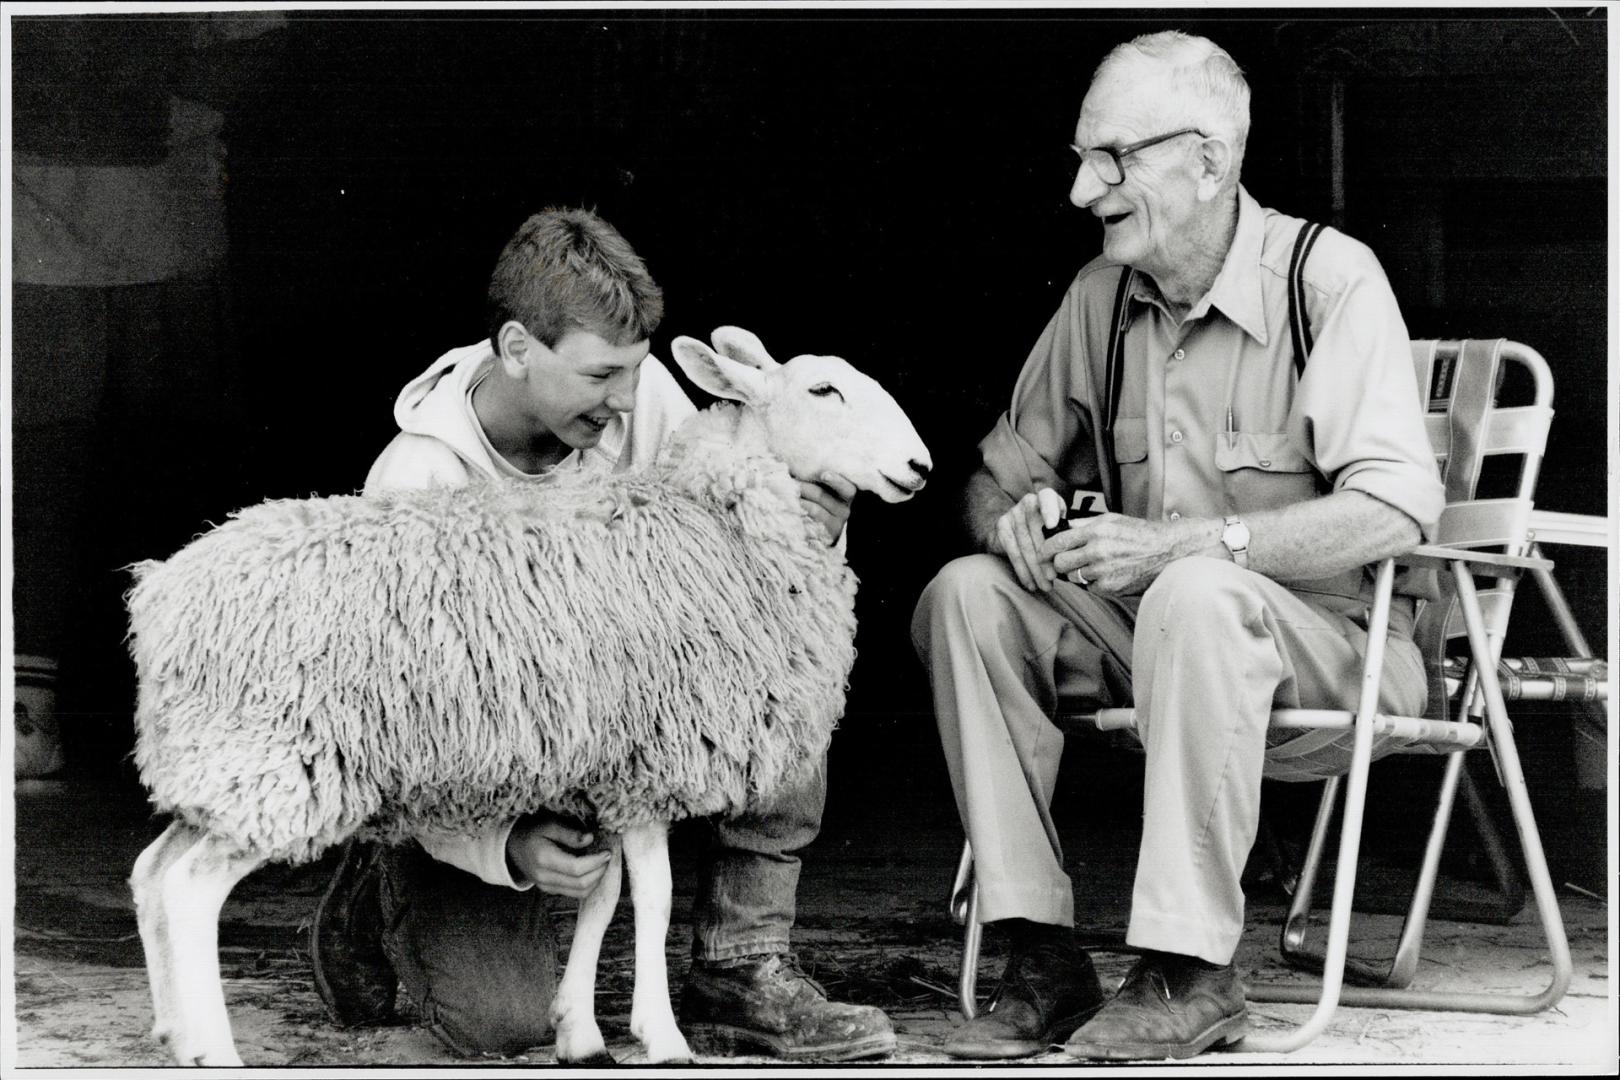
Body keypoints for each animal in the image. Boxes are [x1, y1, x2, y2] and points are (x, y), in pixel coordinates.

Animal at [124, 327, 933, 1062]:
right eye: (823, 391)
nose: (920, 466)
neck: (711, 519)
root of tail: (160, 599)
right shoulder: (650, 761)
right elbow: (655, 897)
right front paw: (662, 1036)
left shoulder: (604, 769)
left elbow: (603, 898)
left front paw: (578, 1031)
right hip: (274, 759)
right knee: (189, 890)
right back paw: (212, 1049)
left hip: (220, 764)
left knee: (154, 872)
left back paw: (173, 1032)